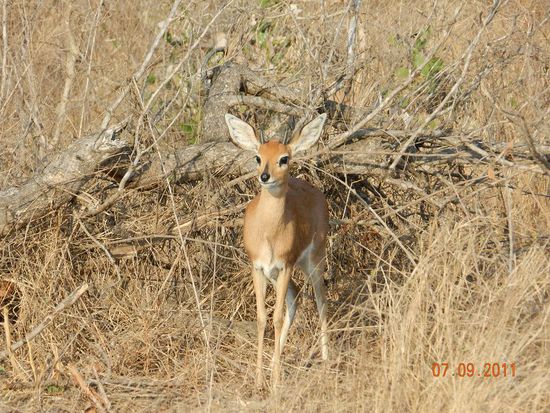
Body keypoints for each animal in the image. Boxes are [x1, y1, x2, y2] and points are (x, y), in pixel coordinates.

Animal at [225, 111, 330, 388]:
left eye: (284, 158)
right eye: (258, 157)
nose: (265, 176)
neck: (269, 233)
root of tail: (316, 192)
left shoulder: (286, 265)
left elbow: (277, 317)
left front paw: (273, 381)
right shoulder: (258, 268)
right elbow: (263, 318)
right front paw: (260, 379)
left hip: (313, 261)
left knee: (321, 300)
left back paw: (327, 360)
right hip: (278, 274)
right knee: (295, 300)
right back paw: (276, 365)